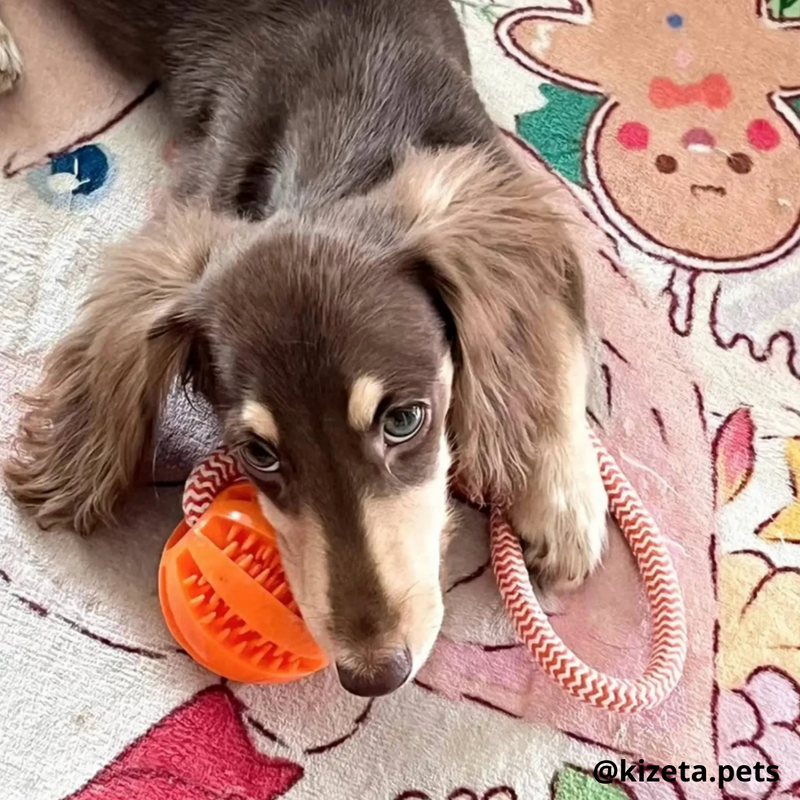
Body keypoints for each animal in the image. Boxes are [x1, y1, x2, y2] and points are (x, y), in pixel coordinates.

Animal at [0, 0, 608, 696]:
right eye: (258, 453)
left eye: (405, 420)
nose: (375, 676)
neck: (350, 108)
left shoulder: (508, 189)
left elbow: (559, 339)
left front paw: (562, 499)